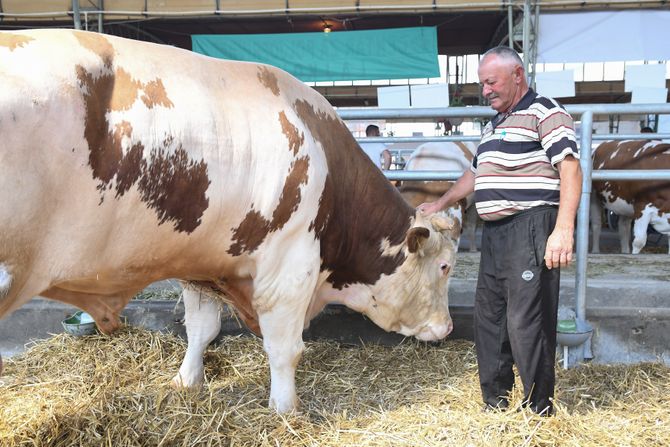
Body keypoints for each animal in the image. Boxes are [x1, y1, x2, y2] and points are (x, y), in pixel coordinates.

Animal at [0, 28, 462, 412]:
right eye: (444, 266)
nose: (447, 327)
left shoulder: (199, 264)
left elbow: (201, 329)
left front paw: (186, 382)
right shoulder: (290, 265)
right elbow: (284, 347)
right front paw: (284, 409)